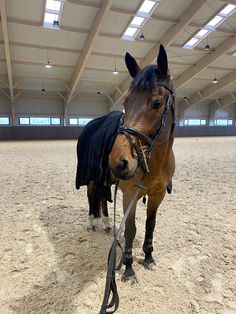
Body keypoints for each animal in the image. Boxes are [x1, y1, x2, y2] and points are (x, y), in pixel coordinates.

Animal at [109, 44, 175, 282]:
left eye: (157, 103)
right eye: (126, 102)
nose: (118, 162)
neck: (154, 163)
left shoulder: (158, 195)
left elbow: (149, 225)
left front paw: (148, 258)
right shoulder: (130, 194)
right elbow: (130, 229)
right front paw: (128, 268)